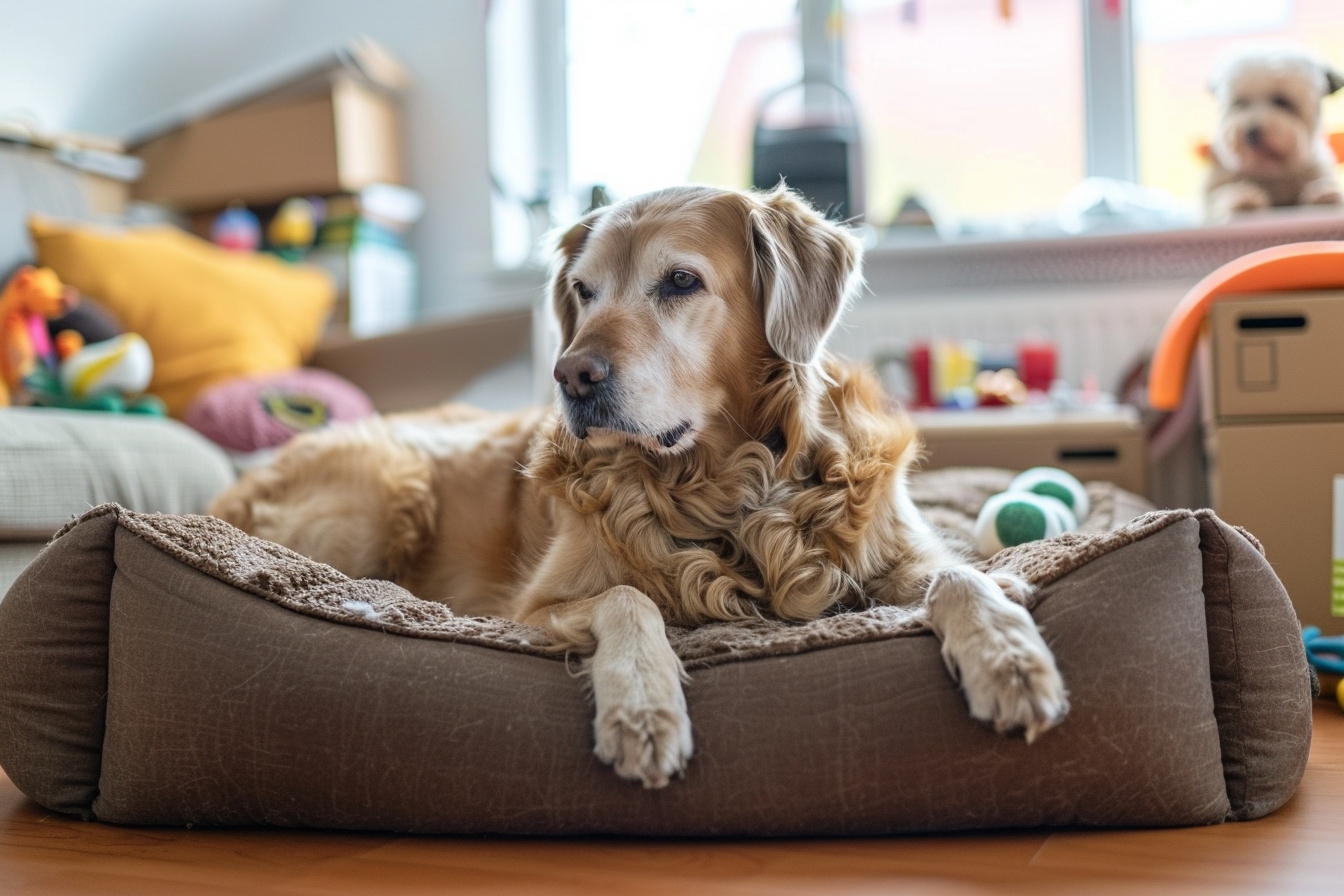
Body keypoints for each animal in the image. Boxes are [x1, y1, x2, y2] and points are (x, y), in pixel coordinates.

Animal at [212, 185, 1069, 789]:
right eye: (583, 292)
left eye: (680, 281)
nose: (571, 376)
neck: (724, 482)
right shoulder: (534, 607)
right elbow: (628, 597)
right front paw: (643, 706)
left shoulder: (900, 552)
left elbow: (961, 576)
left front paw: (1009, 659)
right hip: (391, 487)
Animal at [1209, 46, 1344, 221]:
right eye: (1240, 103)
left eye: (1281, 101)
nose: (1251, 132)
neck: (1273, 172)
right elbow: (1223, 193)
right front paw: (1241, 199)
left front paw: (1325, 195)